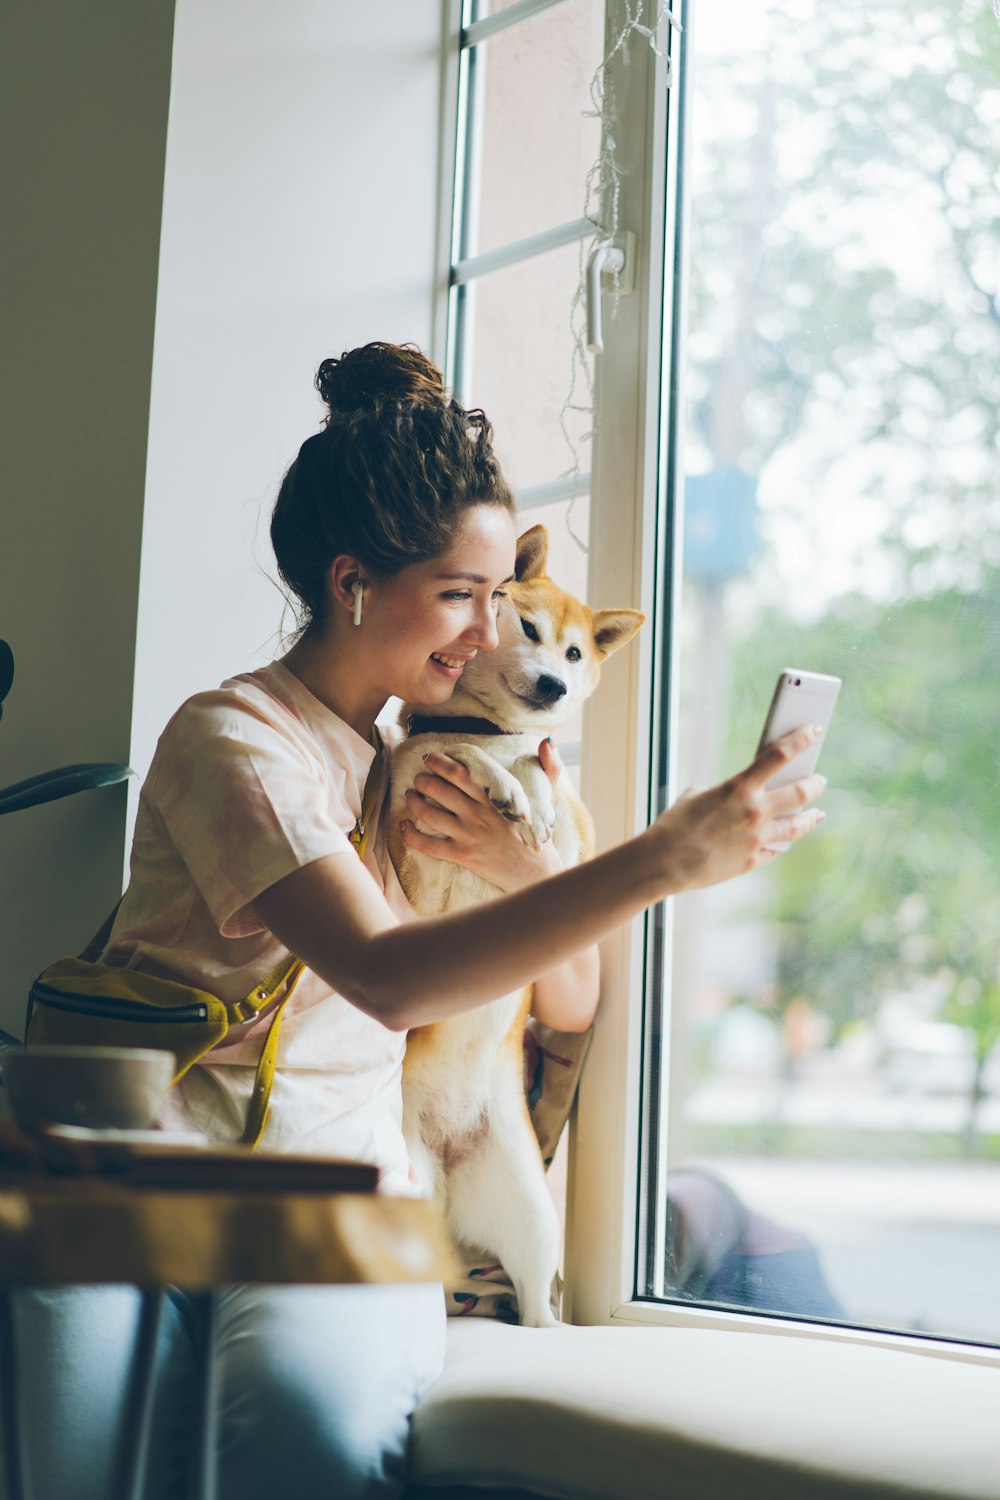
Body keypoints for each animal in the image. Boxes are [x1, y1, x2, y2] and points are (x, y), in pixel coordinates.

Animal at [386, 525, 644, 1326]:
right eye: (528, 630)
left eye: (576, 654)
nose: (555, 686)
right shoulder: (413, 860)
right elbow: (457, 750)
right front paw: (500, 785)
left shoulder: (574, 842)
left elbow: (542, 773)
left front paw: (531, 794)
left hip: (532, 1217)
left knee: (536, 1304)